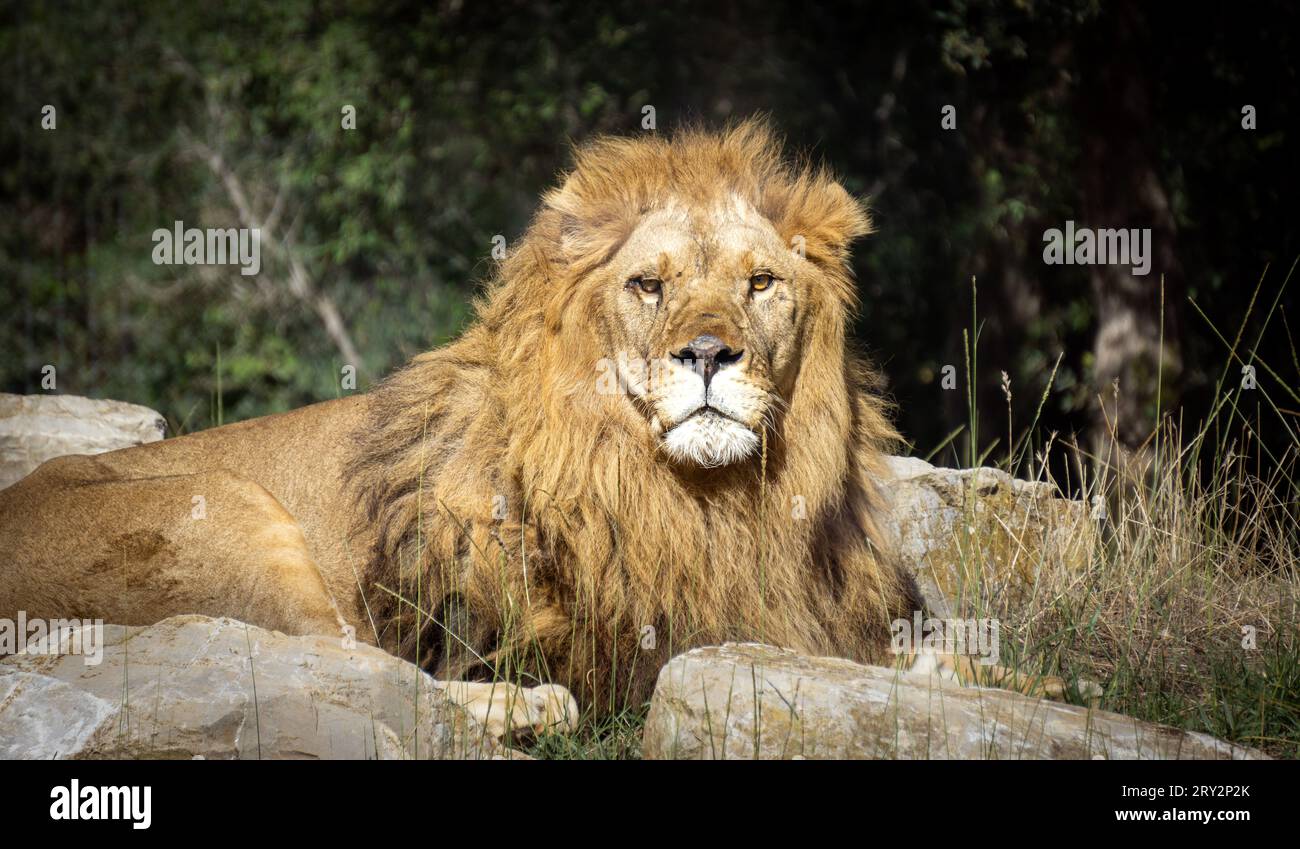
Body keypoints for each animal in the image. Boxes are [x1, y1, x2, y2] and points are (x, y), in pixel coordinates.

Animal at [0, 118, 1055, 733]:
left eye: (761, 282)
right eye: (649, 284)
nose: (708, 355)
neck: (713, 499)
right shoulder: (635, 646)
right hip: (221, 510)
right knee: (358, 679)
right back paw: (525, 709)